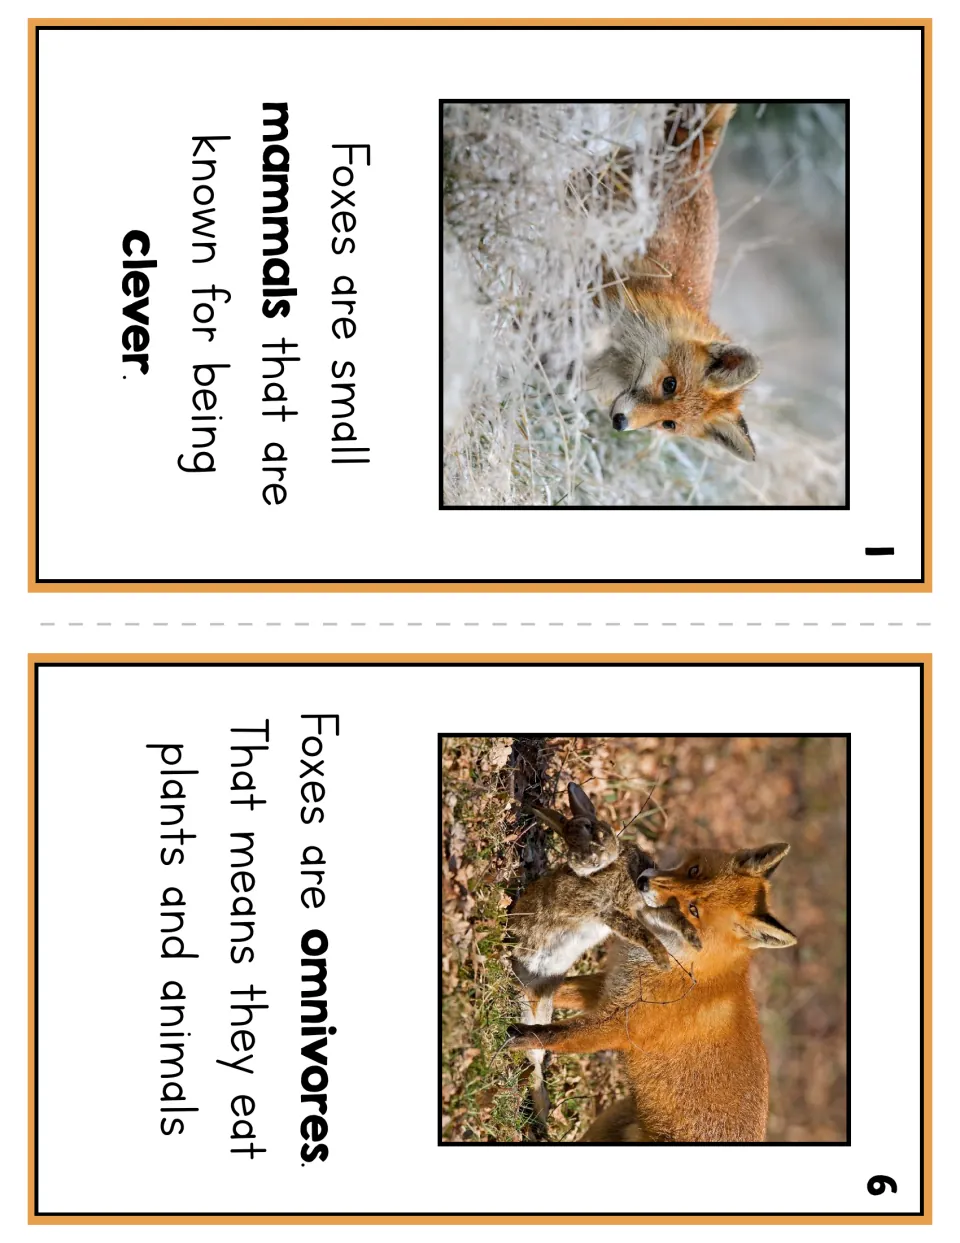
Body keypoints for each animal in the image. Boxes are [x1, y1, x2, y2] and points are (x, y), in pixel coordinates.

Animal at [506, 841, 797, 1142]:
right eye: (694, 871)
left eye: (693, 910)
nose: (643, 881)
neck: (691, 966)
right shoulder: (611, 988)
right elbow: (552, 990)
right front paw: (514, 983)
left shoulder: (618, 1027)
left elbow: (556, 1035)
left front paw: (517, 1037)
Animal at [509, 783, 700, 1127]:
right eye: (569, 845)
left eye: (590, 827)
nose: (587, 859)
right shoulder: (608, 911)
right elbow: (640, 932)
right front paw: (663, 959)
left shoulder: (642, 905)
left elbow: (669, 916)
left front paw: (694, 939)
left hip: (540, 1007)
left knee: (534, 1055)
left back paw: (542, 1111)